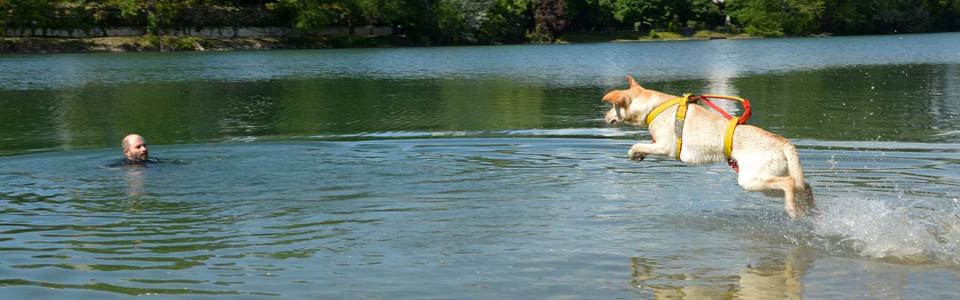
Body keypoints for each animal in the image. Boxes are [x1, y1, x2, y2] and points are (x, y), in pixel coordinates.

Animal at [600, 77, 816, 218]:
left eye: (612, 107)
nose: (604, 116)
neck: (654, 106)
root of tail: (784, 143)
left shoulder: (665, 147)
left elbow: (636, 145)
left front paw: (634, 154)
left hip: (751, 180)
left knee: (790, 183)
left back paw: (793, 211)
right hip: (770, 181)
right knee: (805, 186)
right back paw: (812, 212)